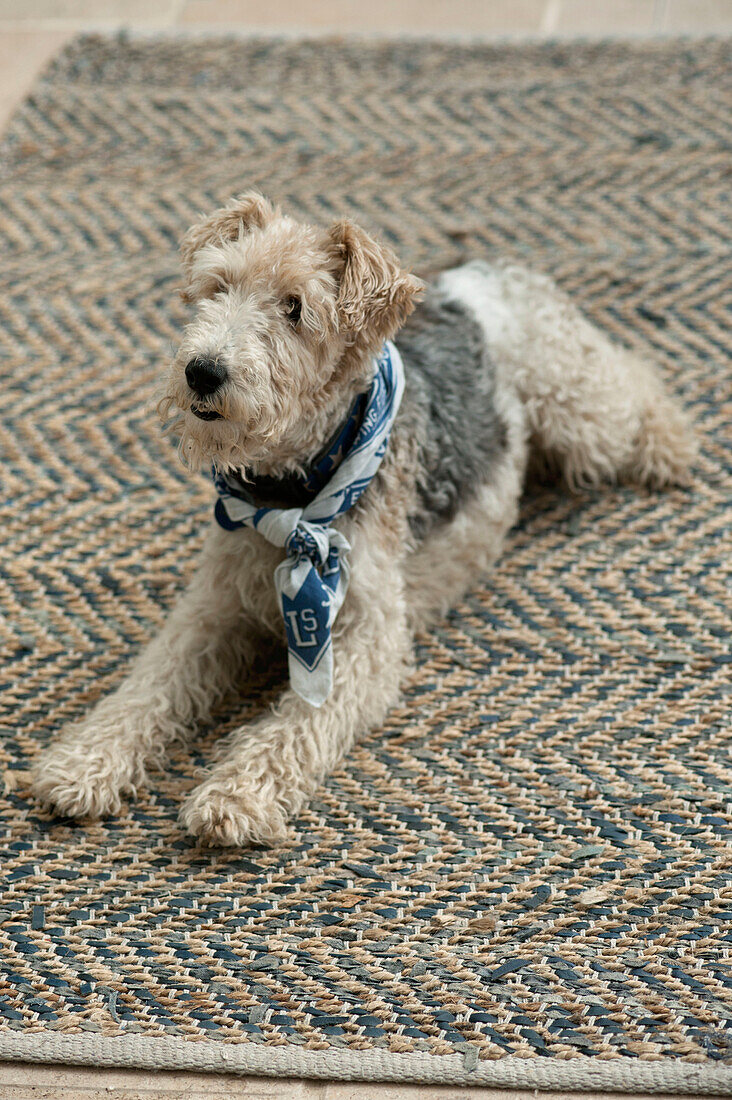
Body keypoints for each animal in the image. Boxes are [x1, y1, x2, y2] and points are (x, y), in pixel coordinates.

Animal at [31, 193, 695, 844]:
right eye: (219, 285)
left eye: (295, 308)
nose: (203, 371)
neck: (291, 498)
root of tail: (483, 271)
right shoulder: (212, 609)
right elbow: (146, 689)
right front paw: (81, 766)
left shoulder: (365, 638)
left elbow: (298, 722)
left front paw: (235, 797)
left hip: (580, 413)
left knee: (636, 379)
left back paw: (673, 448)